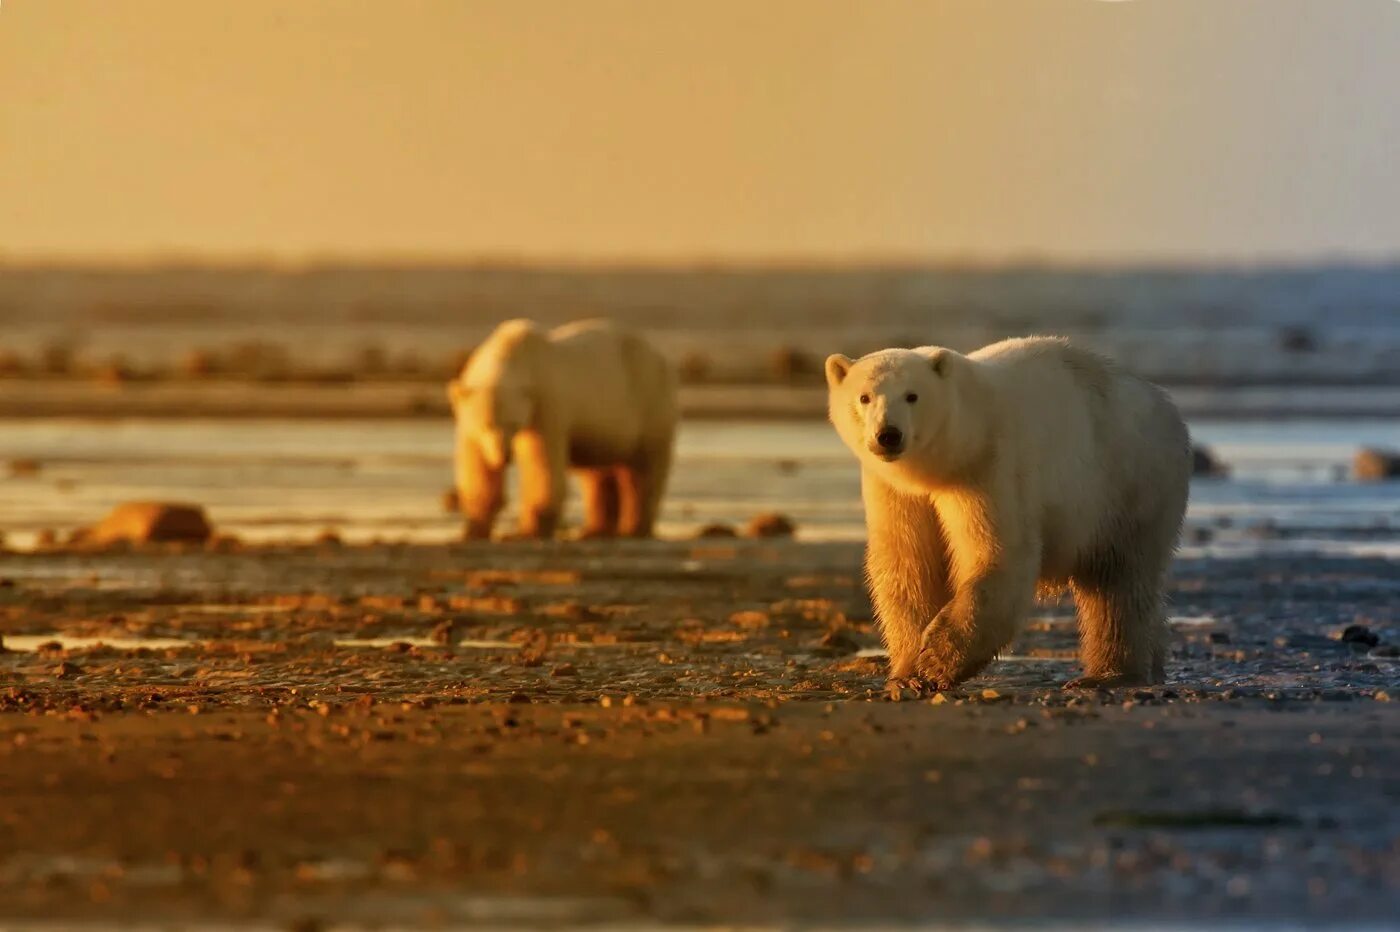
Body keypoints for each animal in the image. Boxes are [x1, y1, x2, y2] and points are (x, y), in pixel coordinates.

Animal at [442, 317, 672, 537]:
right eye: (487, 425)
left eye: (514, 424)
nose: (504, 456)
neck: (512, 355)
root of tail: (660, 356)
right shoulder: (468, 419)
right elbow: (478, 467)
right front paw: (472, 530)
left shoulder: (544, 404)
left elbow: (542, 463)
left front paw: (526, 532)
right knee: (599, 471)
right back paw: (594, 531)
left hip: (648, 400)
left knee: (644, 469)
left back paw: (634, 529)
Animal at [823, 337, 1187, 685]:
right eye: (864, 397)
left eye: (912, 395)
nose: (888, 435)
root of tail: (1169, 410)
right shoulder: (895, 492)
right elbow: (909, 566)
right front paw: (907, 674)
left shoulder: (988, 467)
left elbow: (999, 554)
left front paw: (937, 660)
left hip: (1128, 483)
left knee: (1120, 583)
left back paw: (1109, 675)